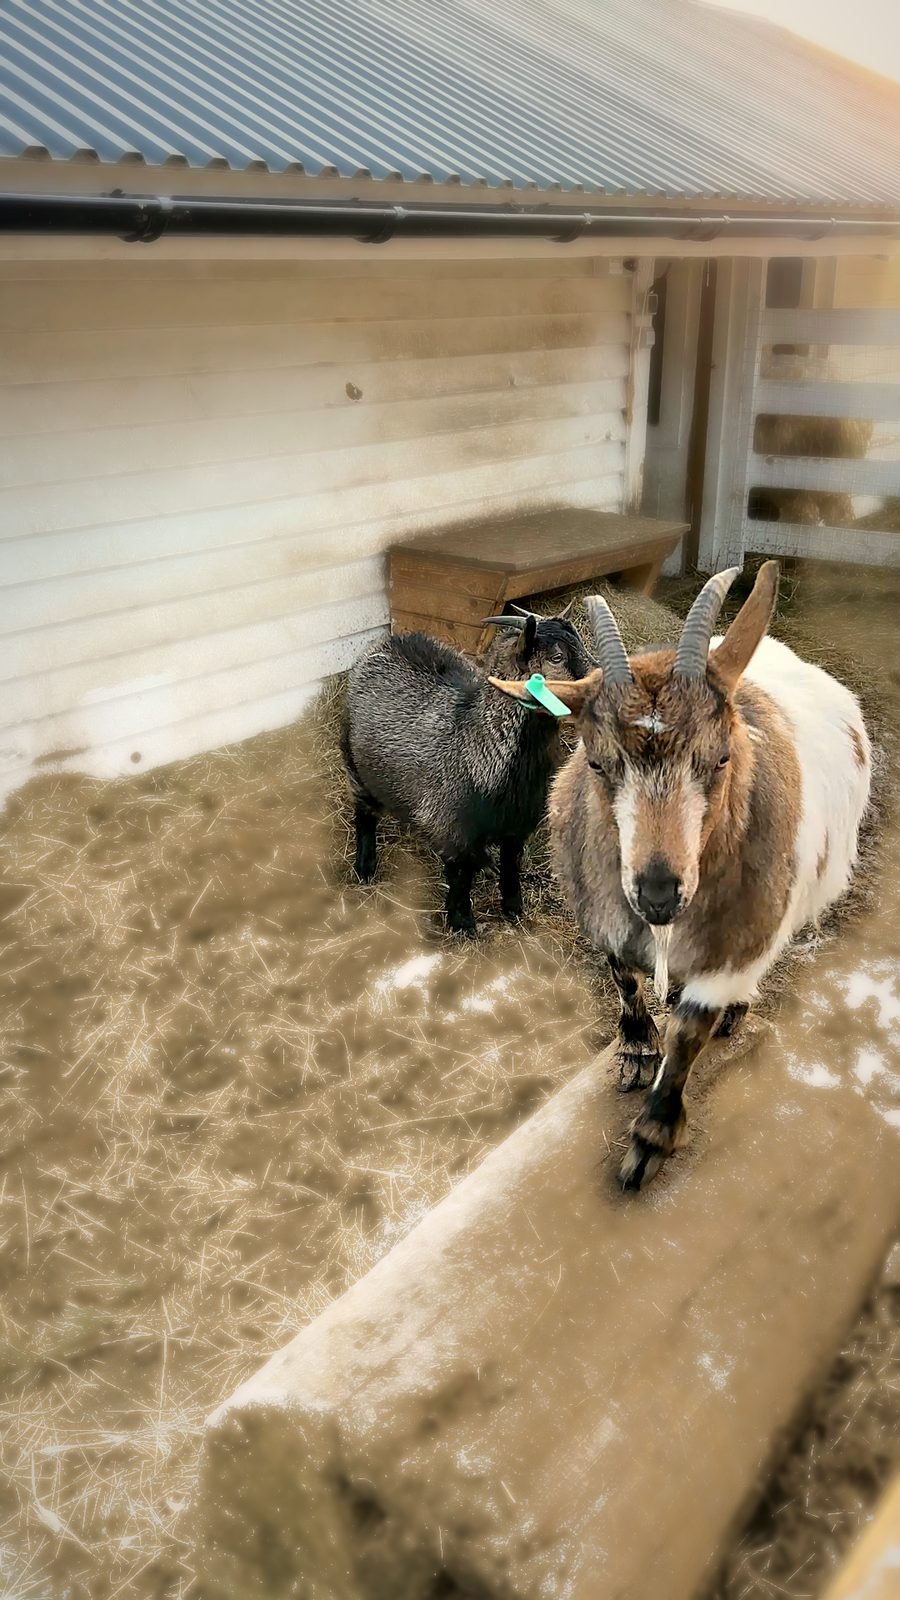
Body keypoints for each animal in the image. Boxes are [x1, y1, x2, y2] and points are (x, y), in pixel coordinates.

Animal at [342, 607, 594, 933]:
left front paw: (513, 908)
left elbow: (511, 865)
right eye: (557, 657)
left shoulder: (517, 825)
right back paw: (365, 867)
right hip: (354, 763)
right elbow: (461, 875)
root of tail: (394, 640)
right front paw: (462, 922)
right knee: (364, 813)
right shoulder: (451, 826)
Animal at [490, 563, 871, 1187]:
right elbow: (624, 980)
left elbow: (689, 1033)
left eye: (721, 757)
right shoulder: (606, 914)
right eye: (595, 760)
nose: (659, 893)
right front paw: (635, 1051)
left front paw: (652, 1139)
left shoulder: (731, 947)